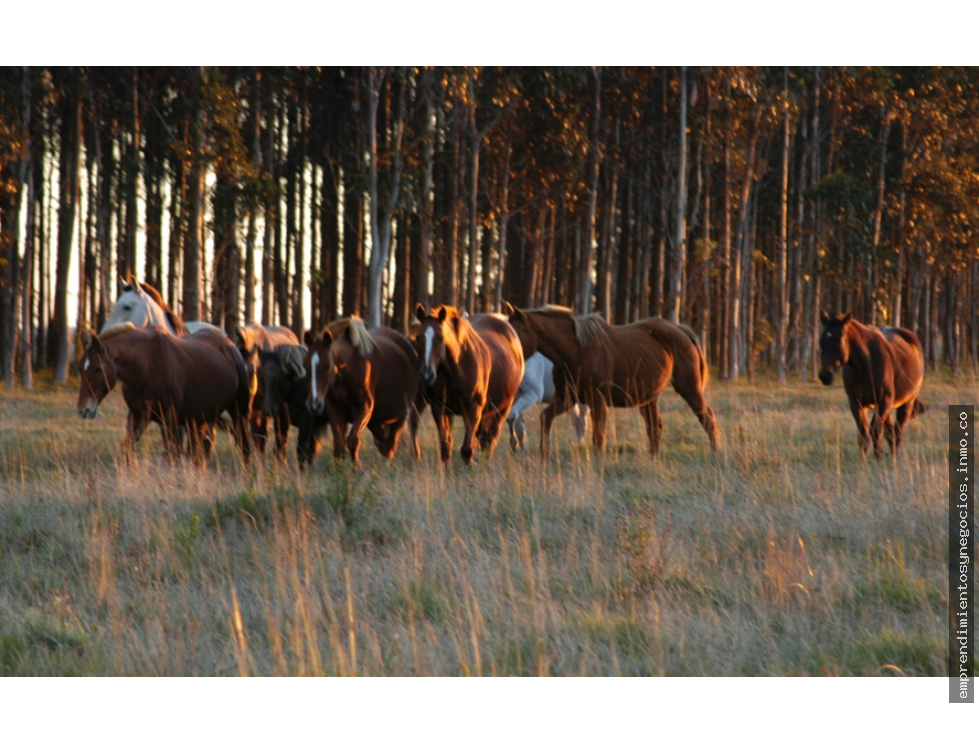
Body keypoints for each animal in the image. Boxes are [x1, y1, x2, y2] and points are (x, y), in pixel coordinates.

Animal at [78, 324, 253, 464]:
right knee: (199, 450)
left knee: (243, 444)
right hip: (200, 418)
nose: (83, 410)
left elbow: (172, 453)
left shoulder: (170, 416)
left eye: (98, 368)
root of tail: (230, 345)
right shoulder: (138, 415)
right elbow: (128, 448)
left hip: (238, 410)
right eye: (80, 368)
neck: (147, 366)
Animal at [300, 318, 420, 464]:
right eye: (305, 365)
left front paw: (357, 466)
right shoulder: (334, 408)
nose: (314, 404)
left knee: (390, 446)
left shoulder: (364, 407)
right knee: (382, 443)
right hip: (375, 421)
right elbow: (339, 447)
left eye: (327, 365)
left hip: (401, 416)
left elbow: (352, 440)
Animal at [506, 304, 720, 460]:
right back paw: (653, 459)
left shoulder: (597, 399)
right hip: (649, 398)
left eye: (515, 332)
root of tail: (681, 330)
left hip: (689, 388)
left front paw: (599, 462)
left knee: (706, 417)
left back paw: (715, 454)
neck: (576, 351)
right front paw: (544, 454)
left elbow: (598, 434)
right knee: (655, 426)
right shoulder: (566, 397)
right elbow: (545, 417)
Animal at [820, 310, 928, 460]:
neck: (865, 366)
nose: (825, 376)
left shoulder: (884, 401)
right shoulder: (856, 403)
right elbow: (864, 432)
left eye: (840, 340)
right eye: (821, 342)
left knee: (898, 430)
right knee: (890, 431)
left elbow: (874, 429)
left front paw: (879, 457)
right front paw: (864, 459)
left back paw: (894, 456)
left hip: (907, 401)